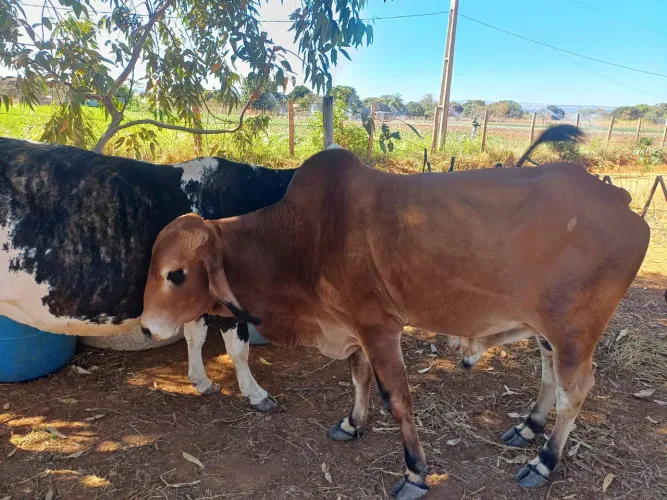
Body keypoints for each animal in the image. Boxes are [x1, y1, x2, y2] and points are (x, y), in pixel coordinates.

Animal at [140, 127, 650, 499]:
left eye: (176, 274)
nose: (144, 327)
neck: (302, 236)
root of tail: (620, 201)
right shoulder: (352, 325)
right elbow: (359, 377)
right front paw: (353, 423)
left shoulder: (378, 326)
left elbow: (397, 397)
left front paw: (415, 473)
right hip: (549, 329)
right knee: (549, 374)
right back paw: (528, 427)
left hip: (573, 332)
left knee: (574, 392)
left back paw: (543, 462)